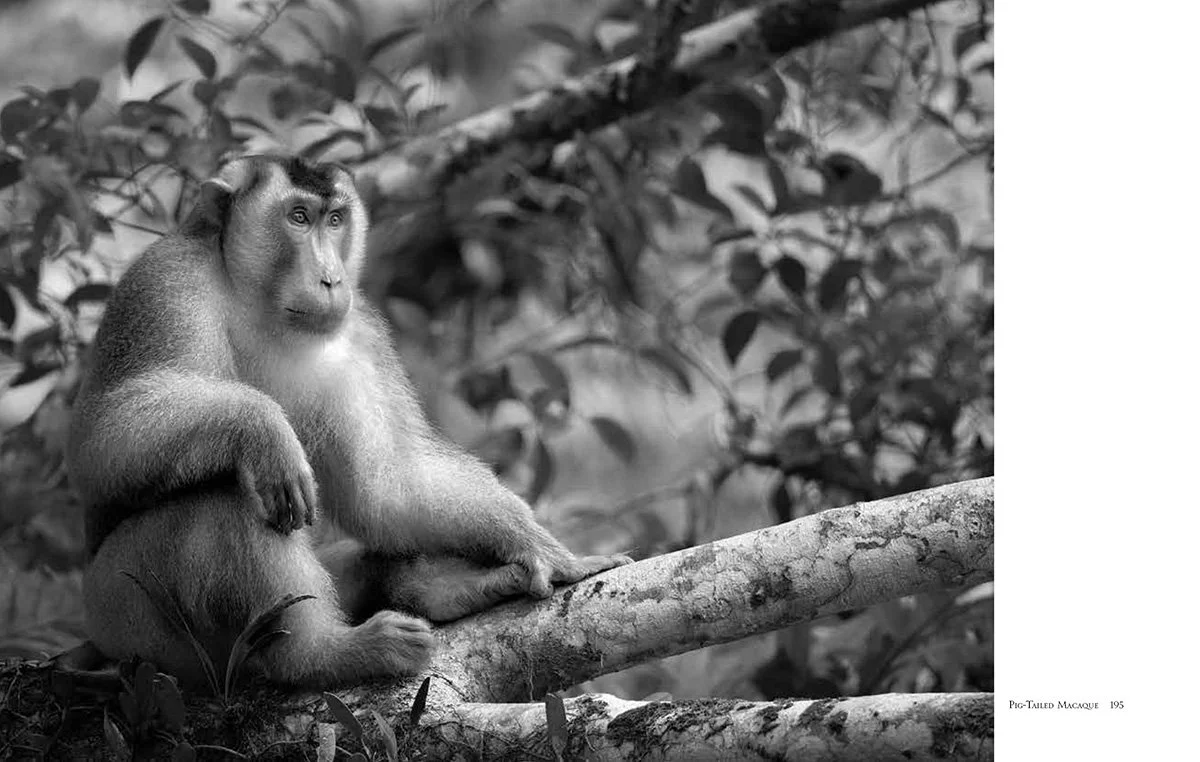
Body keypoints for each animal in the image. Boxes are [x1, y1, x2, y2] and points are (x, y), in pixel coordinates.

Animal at [66, 155, 631, 690]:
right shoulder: (166, 285)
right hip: (128, 615)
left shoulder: (361, 338)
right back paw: (322, 653)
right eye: (298, 217)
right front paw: (260, 424)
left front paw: (535, 543)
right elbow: (103, 440)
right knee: (231, 498)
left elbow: (383, 490)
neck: (258, 308)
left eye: (336, 219)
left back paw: (443, 589)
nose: (332, 279)